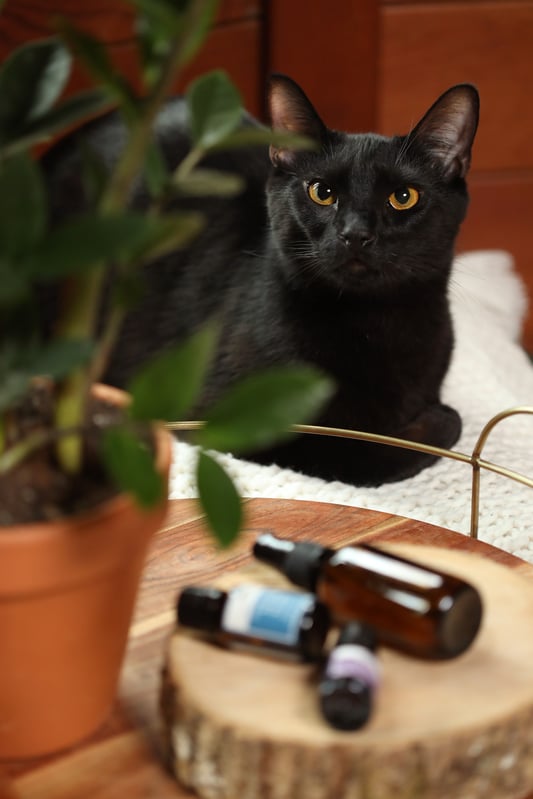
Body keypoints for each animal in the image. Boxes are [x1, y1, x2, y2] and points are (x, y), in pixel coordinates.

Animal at [41, 76, 478, 488]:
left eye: (404, 197)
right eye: (322, 192)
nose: (355, 233)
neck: (375, 324)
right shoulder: (238, 417)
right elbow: (375, 447)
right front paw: (433, 419)